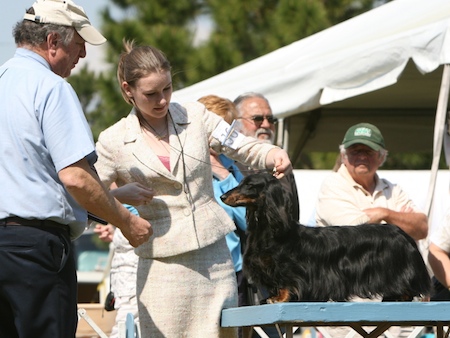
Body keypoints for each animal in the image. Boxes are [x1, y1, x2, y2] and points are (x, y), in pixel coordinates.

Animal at [221, 173, 432, 302]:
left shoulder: (286, 268)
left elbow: (285, 282)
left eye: (249, 185)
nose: (222, 197)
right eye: (240, 183)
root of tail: (403, 234)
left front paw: (279, 297)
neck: (271, 231)